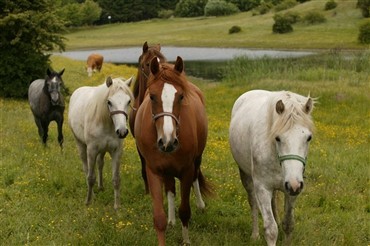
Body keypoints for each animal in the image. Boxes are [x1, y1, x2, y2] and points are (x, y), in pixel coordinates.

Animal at [68, 76, 134, 209]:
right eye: (109, 102)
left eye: (128, 101)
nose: (122, 131)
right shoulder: (92, 150)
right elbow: (90, 178)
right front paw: (88, 201)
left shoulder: (116, 151)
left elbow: (116, 179)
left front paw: (117, 206)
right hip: (80, 145)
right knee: (86, 168)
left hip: (102, 150)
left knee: (100, 164)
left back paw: (101, 186)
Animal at [134, 56, 212, 246]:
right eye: (152, 96)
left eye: (181, 96)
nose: (167, 141)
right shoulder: (154, 171)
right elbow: (159, 218)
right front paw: (167, 221)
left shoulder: (186, 170)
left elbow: (185, 210)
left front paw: (186, 240)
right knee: (170, 188)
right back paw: (171, 220)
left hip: (197, 160)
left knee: (196, 177)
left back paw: (200, 205)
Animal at [230, 90, 314, 246]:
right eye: (278, 138)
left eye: (309, 138)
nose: (293, 184)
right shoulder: (263, 189)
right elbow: (270, 229)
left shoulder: (292, 191)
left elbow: (288, 224)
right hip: (246, 177)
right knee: (253, 203)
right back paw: (255, 235)